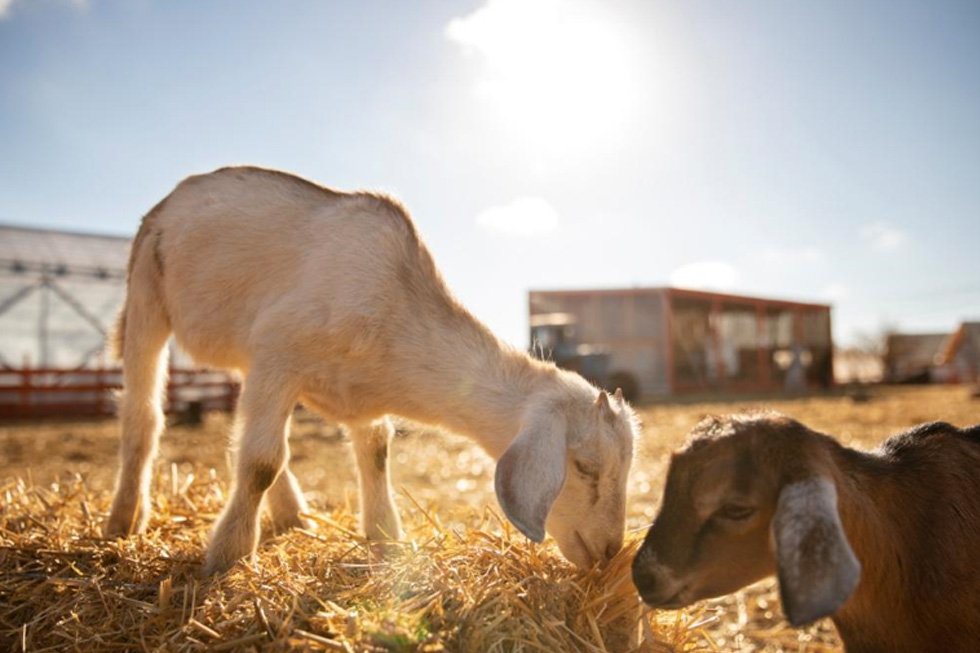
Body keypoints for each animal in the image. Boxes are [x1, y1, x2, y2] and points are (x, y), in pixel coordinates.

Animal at [103, 167, 640, 572]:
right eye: (585, 467)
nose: (609, 551)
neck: (394, 308)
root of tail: (174, 197)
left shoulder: (343, 388)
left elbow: (375, 452)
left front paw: (386, 538)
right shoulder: (279, 353)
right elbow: (260, 462)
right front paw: (227, 554)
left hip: (243, 352)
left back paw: (294, 515)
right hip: (147, 290)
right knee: (144, 416)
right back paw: (123, 521)